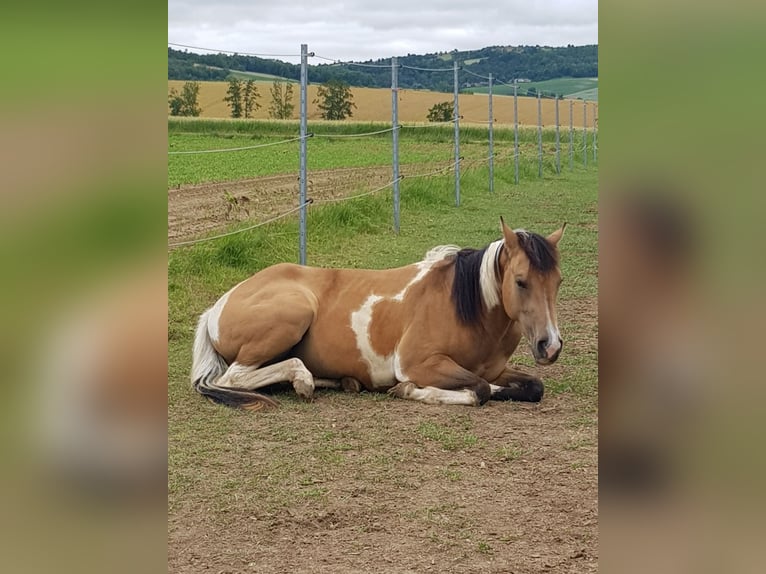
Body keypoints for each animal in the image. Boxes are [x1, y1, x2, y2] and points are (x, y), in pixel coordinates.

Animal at [191, 218, 565, 410]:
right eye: (520, 281)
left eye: (558, 281)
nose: (550, 346)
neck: (466, 306)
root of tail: (214, 308)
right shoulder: (418, 363)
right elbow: (479, 390)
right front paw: (408, 390)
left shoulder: (496, 369)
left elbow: (531, 387)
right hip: (293, 313)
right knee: (234, 377)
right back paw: (304, 380)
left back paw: (341, 381)